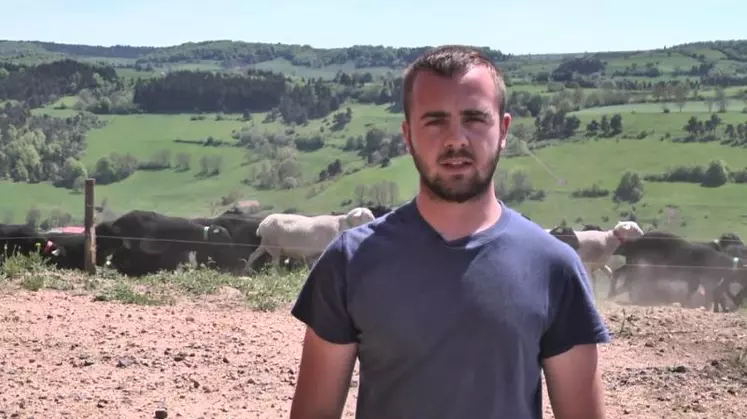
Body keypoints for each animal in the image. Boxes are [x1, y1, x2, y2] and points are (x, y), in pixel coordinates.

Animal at [244, 208, 376, 272]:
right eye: (368, 216)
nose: (376, 221)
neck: (345, 224)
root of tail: (262, 224)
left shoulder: (313, 255)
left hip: (265, 244)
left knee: (253, 255)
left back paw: (246, 272)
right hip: (274, 246)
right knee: (274, 265)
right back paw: (275, 275)